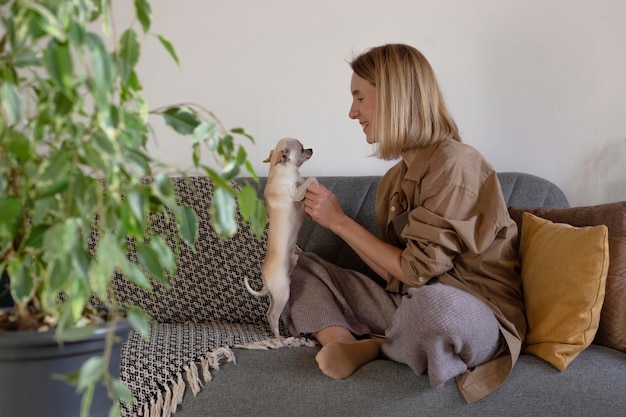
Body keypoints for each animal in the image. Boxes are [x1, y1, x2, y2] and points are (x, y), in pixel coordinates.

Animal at [245, 138, 316, 336]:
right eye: (302, 149)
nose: (311, 149)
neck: (283, 170)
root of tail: (265, 278)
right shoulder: (296, 193)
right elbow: (309, 180)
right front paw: (313, 181)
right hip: (283, 292)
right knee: (272, 316)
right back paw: (279, 337)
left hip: (277, 292)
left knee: (270, 311)